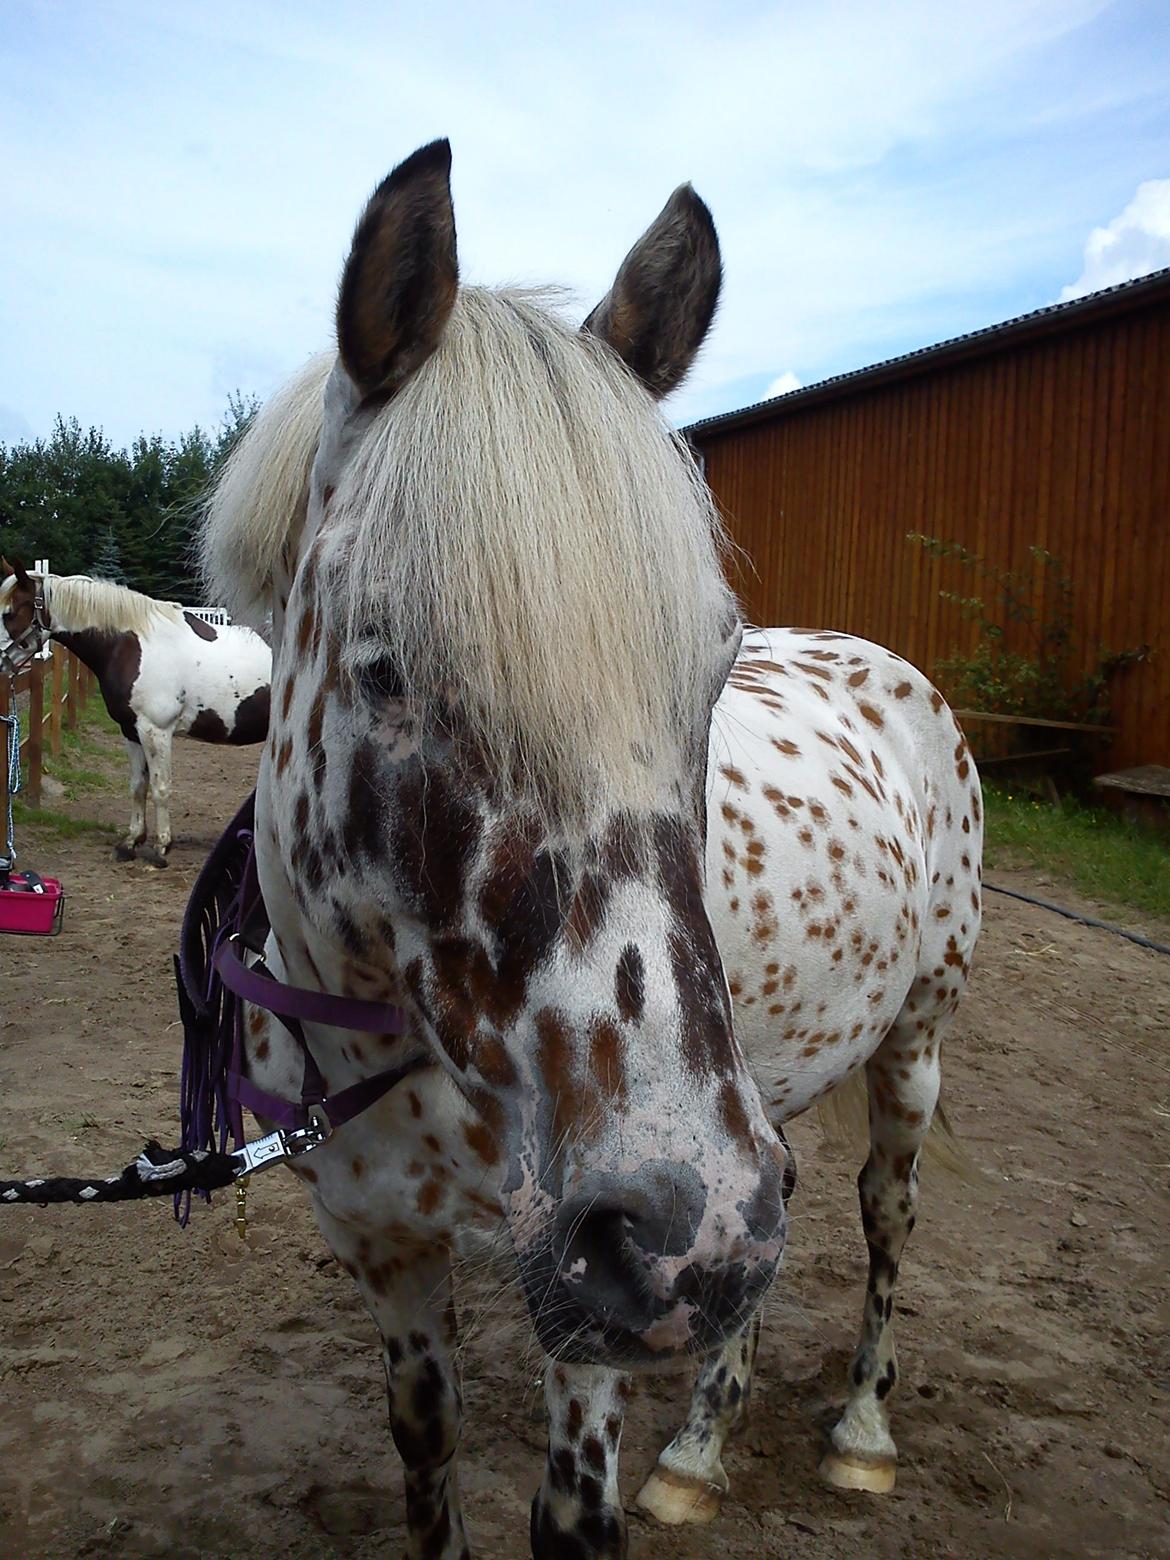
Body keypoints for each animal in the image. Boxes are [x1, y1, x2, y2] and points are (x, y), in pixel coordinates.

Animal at [0, 564, 273, 867]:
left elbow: (160, 787)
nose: (1, 664)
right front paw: (131, 842)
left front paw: (161, 847)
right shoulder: (131, 731)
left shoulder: (156, 731)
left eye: (8, 613)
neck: (133, 645)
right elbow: (138, 786)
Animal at [199, 140, 979, 1553]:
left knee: (883, 1217)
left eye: (714, 664)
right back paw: (702, 1447)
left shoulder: (590, 1318)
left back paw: (861, 1434)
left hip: (905, 1052)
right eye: (384, 665)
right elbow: (427, 1461)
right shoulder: (387, 1257)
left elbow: (571, 1514)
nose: (672, 1228)